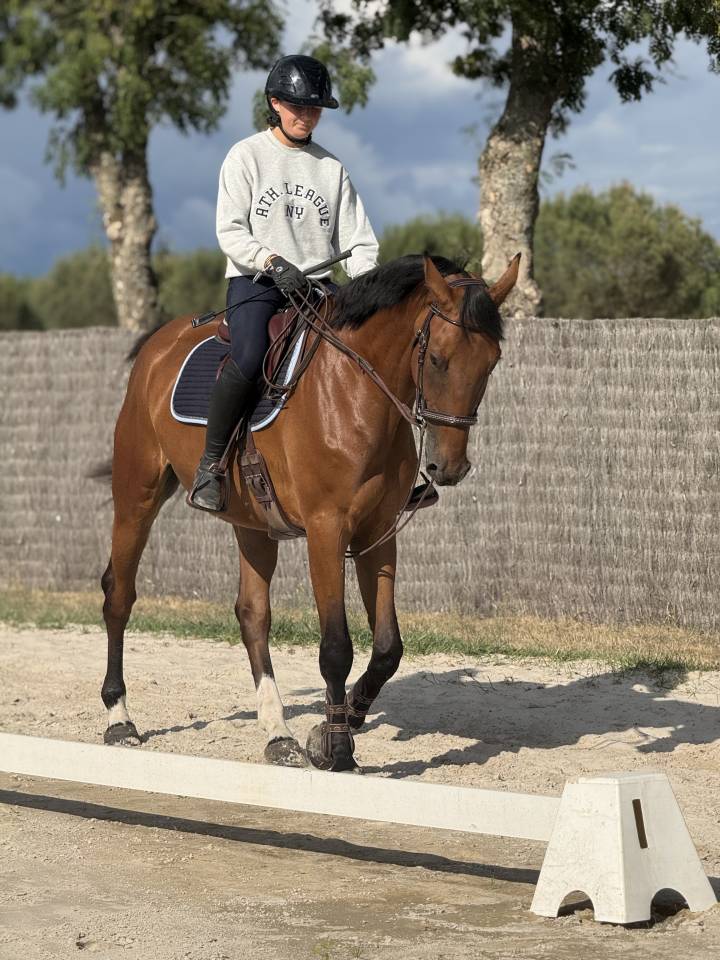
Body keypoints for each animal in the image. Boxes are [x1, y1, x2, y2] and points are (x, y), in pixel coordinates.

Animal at [100, 252, 519, 772]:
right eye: (438, 359)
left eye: (491, 362)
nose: (450, 467)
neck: (356, 394)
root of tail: (158, 344)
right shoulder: (326, 530)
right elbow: (336, 646)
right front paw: (337, 748)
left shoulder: (377, 533)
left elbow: (388, 647)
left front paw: (345, 720)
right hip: (136, 496)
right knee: (119, 595)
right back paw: (120, 719)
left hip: (252, 523)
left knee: (252, 614)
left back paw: (278, 734)